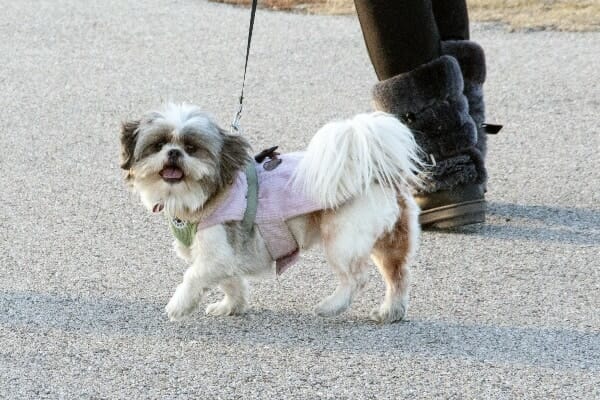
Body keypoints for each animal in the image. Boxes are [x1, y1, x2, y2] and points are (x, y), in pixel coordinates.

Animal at [120, 102, 422, 322]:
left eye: (191, 148)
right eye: (159, 145)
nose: (173, 153)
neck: (203, 197)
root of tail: (376, 170)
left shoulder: (216, 252)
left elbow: (194, 276)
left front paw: (178, 305)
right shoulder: (225, 258)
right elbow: (231, 282)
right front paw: (231, 306)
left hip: (342, 239)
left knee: (356, 279)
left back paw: (331, 306)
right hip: (387, 240)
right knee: (398, 275)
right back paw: (390, 312)